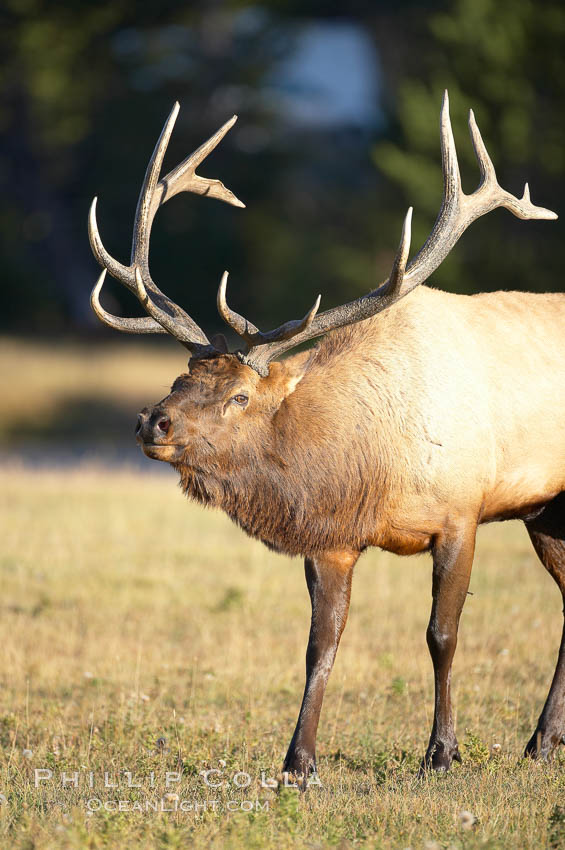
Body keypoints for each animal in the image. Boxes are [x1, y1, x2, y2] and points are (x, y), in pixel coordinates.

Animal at [88, 93, 560, 780]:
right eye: (181, 376)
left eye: (240, 396)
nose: (154, 420)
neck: (372, 468)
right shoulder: (332, 541)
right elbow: (322, 642)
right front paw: (299, 760)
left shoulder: (460, 513)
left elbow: (441, 635)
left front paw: (441, 752)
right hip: (546, 510)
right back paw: (543, 740)